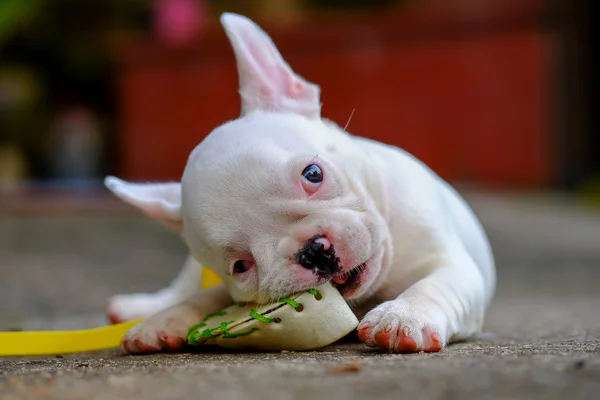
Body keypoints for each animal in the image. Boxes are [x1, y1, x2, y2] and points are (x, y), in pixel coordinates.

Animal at [104, 12, 496, 354]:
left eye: (313, 174)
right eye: (241, 266)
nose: (313, 251)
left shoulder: (450, 264)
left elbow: (434, 285)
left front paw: (403, 315)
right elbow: (207, 296)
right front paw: (166, 319)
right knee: (182, 286)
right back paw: (143, 308)